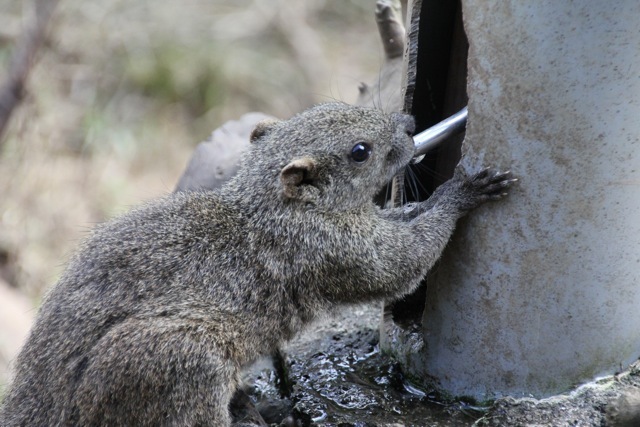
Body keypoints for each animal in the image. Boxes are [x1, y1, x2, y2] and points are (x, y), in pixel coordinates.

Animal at [0, 102, 510, 426]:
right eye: (360, 151)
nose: (408, 123)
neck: (270, 205)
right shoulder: (332, 250)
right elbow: (400, 263)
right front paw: (460, 193)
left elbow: (403, 221)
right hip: (175, 362)